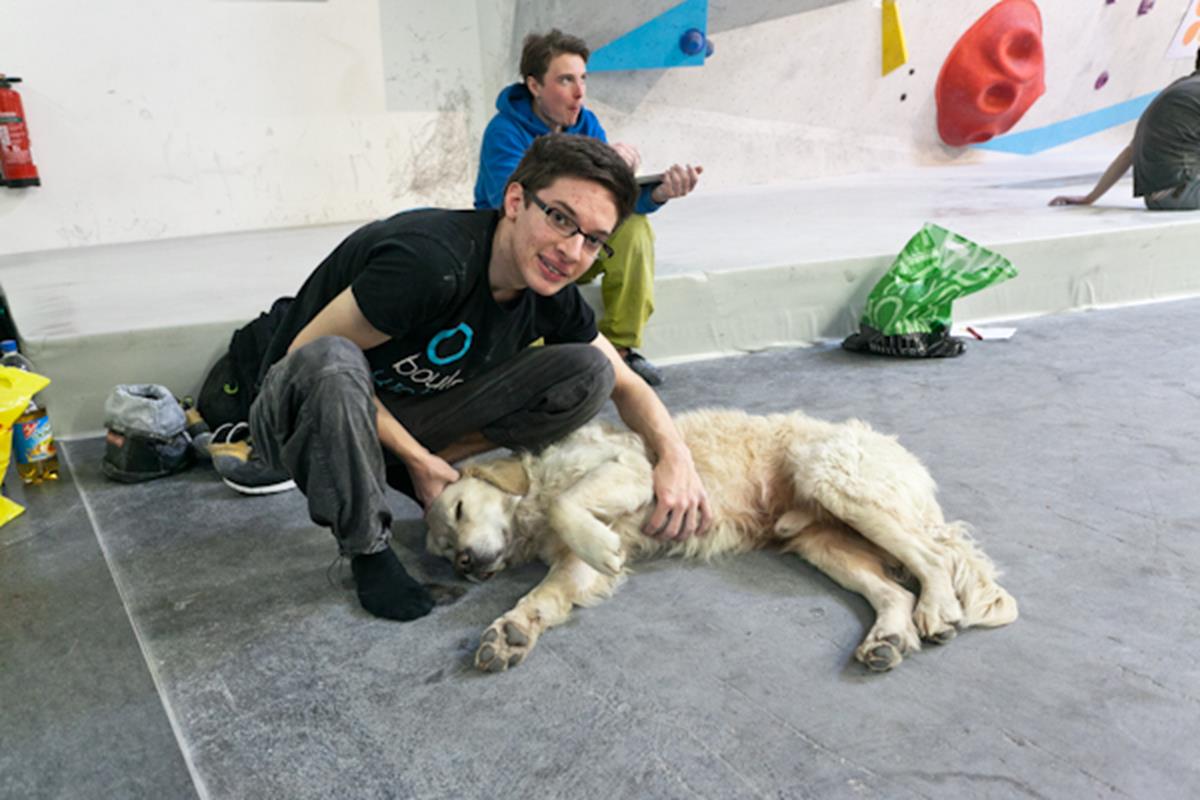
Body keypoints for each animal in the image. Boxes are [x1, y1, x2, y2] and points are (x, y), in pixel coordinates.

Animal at [427, 410, 1017, 671]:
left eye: (458, 509)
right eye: (440, 549)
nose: (463, 564)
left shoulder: (635, 473)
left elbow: (566, 504)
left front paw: (600, 541)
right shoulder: (573, 566)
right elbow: (542, 596)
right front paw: (509, 632)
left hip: (836, 481)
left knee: (934, 557)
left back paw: (938, 609)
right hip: (822, 541)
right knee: (895, 591)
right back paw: (887, 639)